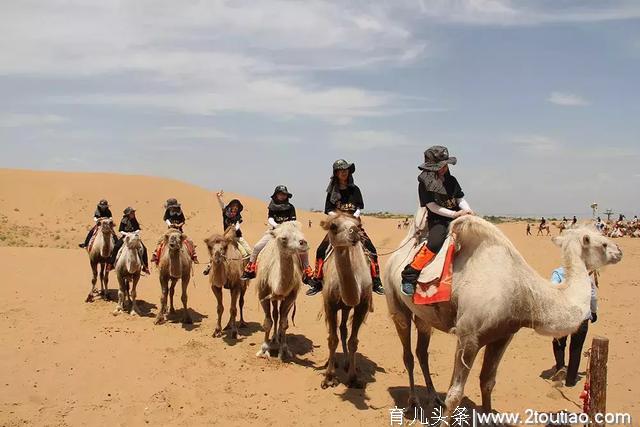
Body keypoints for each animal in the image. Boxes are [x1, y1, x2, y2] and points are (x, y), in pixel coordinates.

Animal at [254, 222, 308, 362]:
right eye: (283, 238)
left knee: (278, 315)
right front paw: (264, 349)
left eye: (301, 233)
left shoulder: (290, 297)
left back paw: (277, 338)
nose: (304, 243)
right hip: (273, 298)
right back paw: (273, 339)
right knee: (275, 314)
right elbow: (268, 322)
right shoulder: (263, 294)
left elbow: (284, 323)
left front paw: (283, 350)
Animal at [318, 214, 372, 392]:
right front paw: (328, 378)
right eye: (333, 226)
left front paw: (353, 378)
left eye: (358, 225)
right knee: (334, 331)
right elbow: (332, 339)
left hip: (347, 307)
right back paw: (332, 362)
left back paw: (348, 363)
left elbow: (353, 341)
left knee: (343, 329)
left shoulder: (362, 305)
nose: (355, 232)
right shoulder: (330, 304)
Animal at [382, 209, 624, 420]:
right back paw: (413, 402)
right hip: (396, 303)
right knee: (408, 354)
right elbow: (455, 394)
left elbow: (487, 382)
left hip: (424, 316)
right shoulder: (468, 337)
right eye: (602, 243)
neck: (523, 293)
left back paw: (433, 397)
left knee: (422, 352)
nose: (619, 250)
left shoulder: (503, 334)